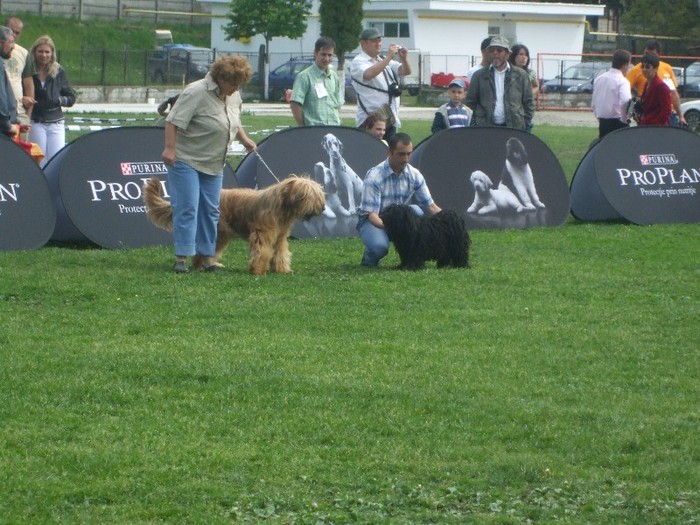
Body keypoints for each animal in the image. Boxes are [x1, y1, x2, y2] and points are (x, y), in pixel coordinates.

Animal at [144, 175, 328, 274]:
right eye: (313, 196)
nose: (323, 207)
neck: (283, 206)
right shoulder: (263, 232)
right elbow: (262, 251)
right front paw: (258, 271)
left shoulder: (280, 237)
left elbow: (281, 253)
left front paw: (282, 270)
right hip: (220, 231)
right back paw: (200, 266)